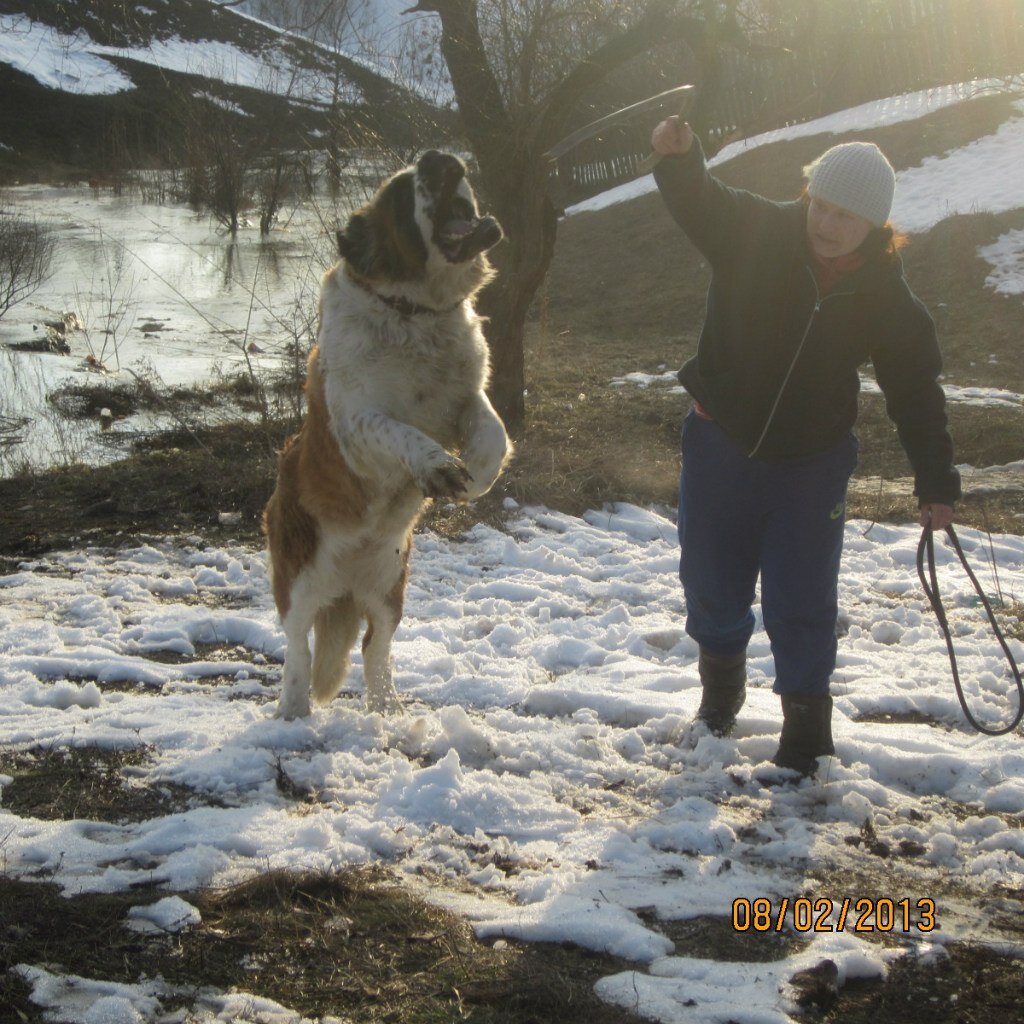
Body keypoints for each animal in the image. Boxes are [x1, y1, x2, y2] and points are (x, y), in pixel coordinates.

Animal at [260, 151, 507, 720]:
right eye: (400, 193)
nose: (441, 159)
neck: (415, 311)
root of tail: (346, 584)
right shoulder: (356, 425)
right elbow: (396, 429)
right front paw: (438, 467)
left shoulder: (468, 397)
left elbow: (494, 431)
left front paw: (477, 477)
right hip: (300, 581)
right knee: (298, 648)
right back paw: (293, 713)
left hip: (390, 587)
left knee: (377, 647)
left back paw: (388, 711)